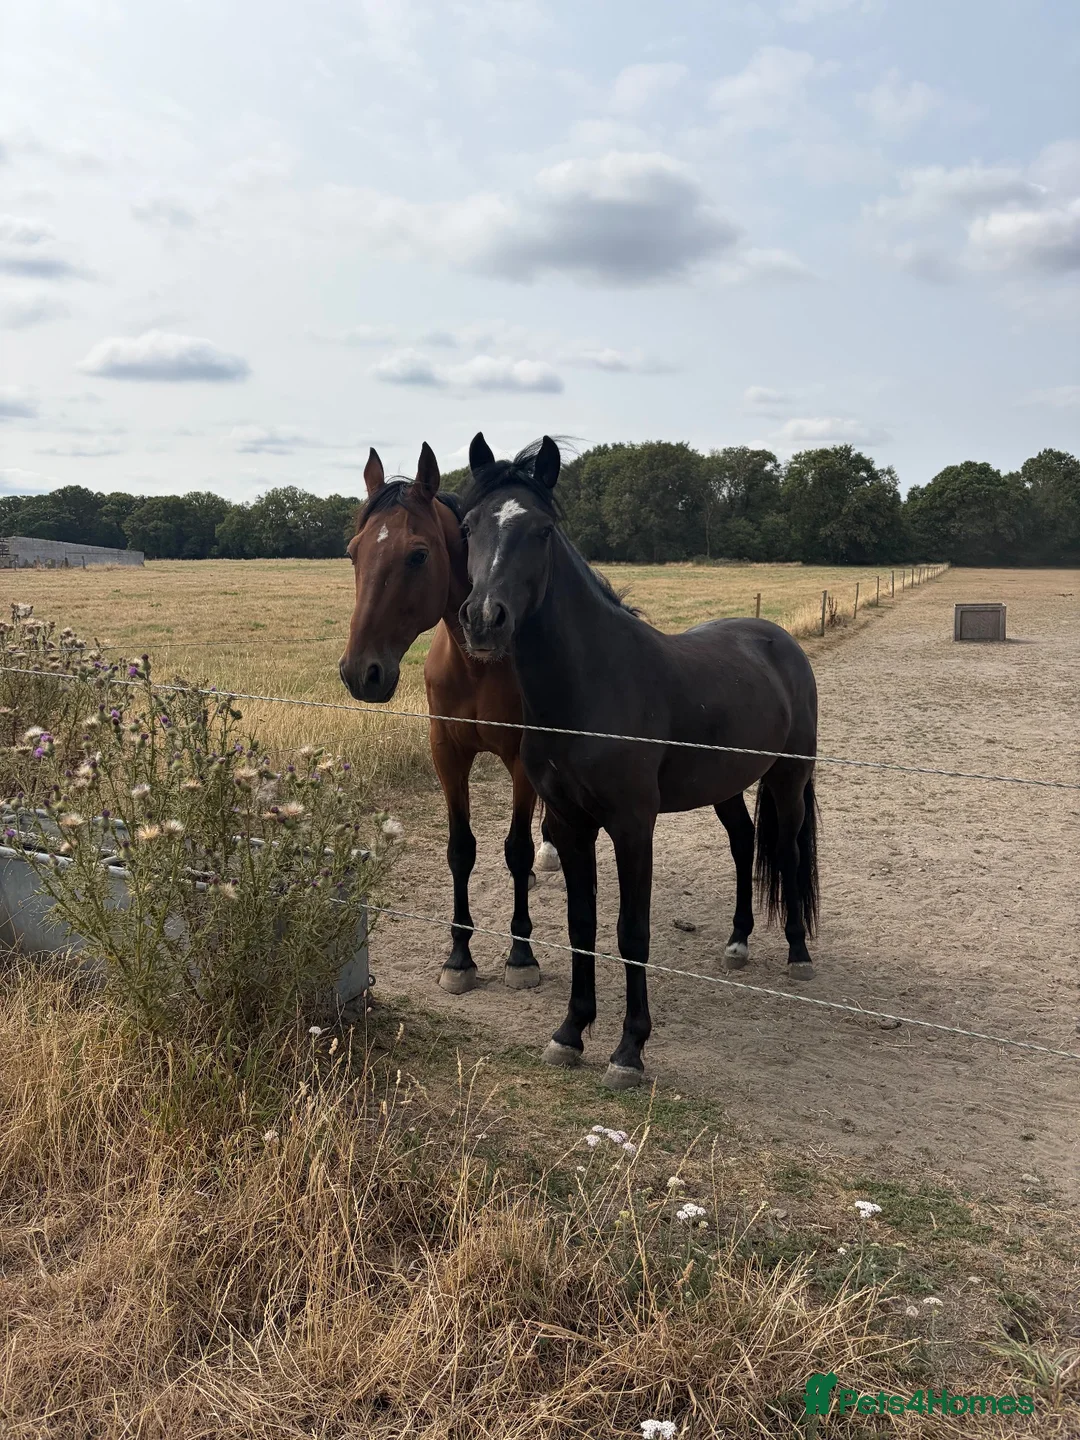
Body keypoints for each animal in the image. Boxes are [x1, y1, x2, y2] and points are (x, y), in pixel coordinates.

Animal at [338, 442, 560, 995]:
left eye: (418, 554)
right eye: (353, 552)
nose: (360, 673)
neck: (479, 663)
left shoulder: (521, 759)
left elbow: (516, 849)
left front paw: (521, 955)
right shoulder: (448, 753)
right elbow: (461, 849)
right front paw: (459, 957)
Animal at [458, 434, 820, 1090]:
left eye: (542, 530)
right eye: (470, 525)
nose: (483, 620)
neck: (591, 686)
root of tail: (779, 640)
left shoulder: (631, 825)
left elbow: (632, 931)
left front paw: (629, 1050)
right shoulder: (570, 824)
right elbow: (581, 926)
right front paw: (570, 1033)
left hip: (788, 777)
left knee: (785, 851)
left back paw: (798, 953)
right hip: (726, 788)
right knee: (743, 844)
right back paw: (738, 942)